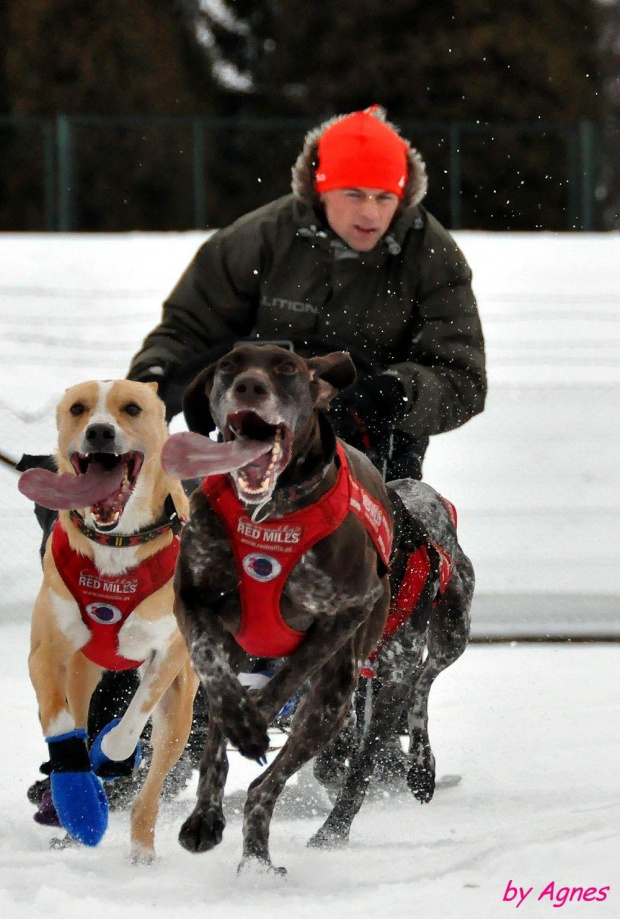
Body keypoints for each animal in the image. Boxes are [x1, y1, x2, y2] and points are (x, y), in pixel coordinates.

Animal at [22, 382, 196, 864]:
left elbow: (127, 730)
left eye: (132, 408)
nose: (100, 431)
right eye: (78, 409)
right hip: (83, 675)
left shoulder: (167, 655)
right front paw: (79, 799)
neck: (117, 544)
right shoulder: (48, 652)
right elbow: (62, 727)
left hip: (182, 710)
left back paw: (141, 847)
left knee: (151, 784)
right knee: (78, 720)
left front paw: (110, 753)